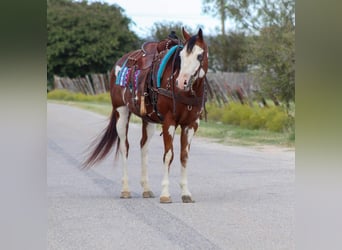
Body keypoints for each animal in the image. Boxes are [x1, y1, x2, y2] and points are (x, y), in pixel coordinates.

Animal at [84, 27, 210, 203]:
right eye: (181, 56)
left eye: (199, 55)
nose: (181, 82)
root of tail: (120, 62)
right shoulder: (169, 122)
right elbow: (168, 155)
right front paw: (165, 194)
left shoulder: (191, 125)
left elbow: (184, 156)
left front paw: (186, 193)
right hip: (121, 112)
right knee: (124, 147)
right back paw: (125, 190)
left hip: (149, 120)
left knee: (144, 147)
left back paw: (146, 189)